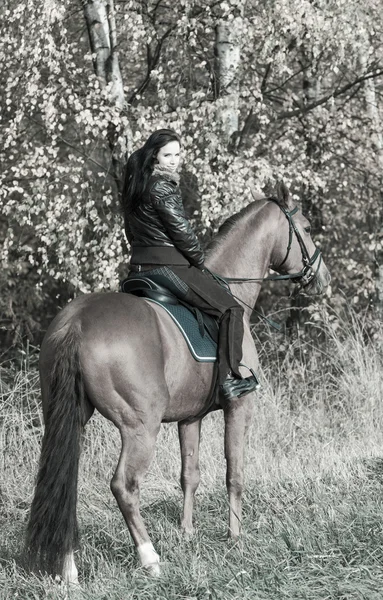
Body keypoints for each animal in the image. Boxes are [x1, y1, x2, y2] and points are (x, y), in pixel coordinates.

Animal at [25, 184, 332, 580]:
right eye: (306, 228)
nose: (322, 277)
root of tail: (76, 323)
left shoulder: (190, 418)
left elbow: (190, 474)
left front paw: (187, 533)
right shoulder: (239, 406)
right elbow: (234, 473)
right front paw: (235, 537)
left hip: (68, 418)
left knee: (63, 481)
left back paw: (68, 570)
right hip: (141, 426)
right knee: (124, 486)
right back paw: (149, 558)